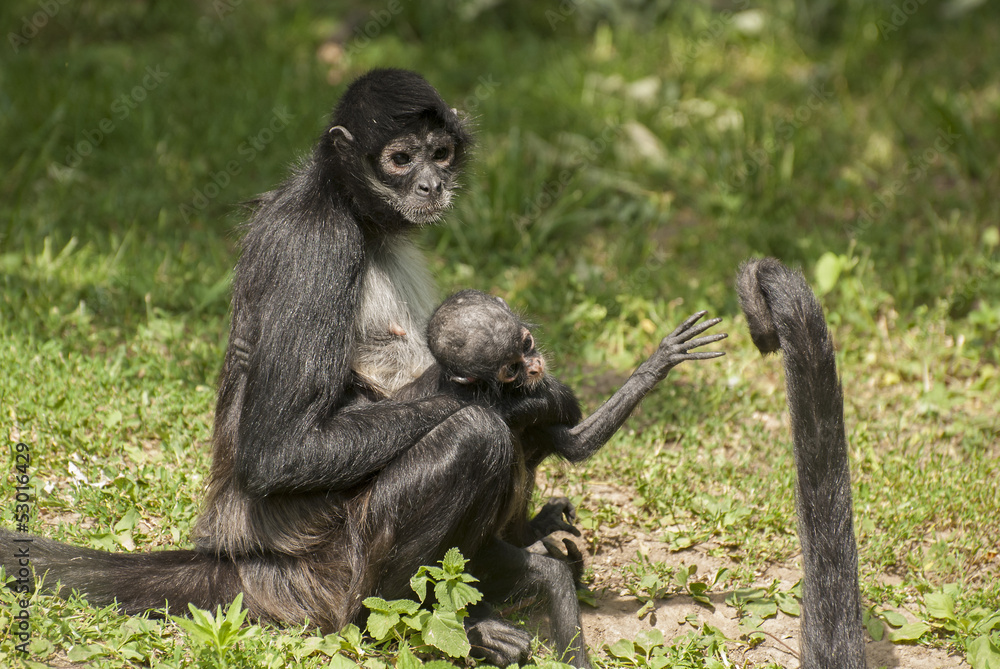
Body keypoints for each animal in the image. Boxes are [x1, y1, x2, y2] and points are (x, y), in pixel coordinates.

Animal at [394, 289, 728, 666]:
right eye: (511, 368)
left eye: (526, 344)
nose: (535, 366)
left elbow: (574, 442)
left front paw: (659, 361)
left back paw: (534, 532)